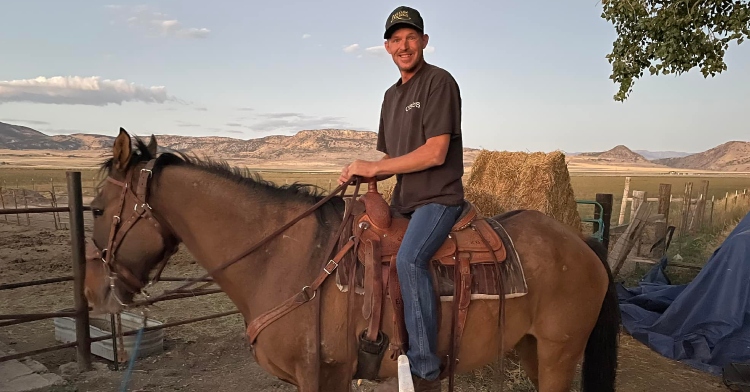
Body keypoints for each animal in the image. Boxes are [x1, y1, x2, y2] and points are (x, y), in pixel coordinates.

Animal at [82, 127, 624, 390]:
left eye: (98, 208)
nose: (91, 291)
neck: (285, 258)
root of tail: (582, 243)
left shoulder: (319, 376)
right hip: (533, 352)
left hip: (558, 354)